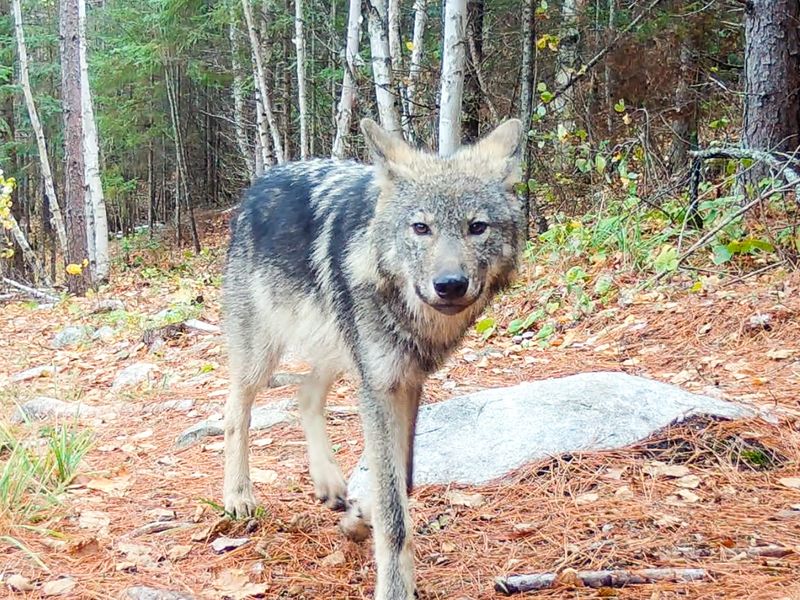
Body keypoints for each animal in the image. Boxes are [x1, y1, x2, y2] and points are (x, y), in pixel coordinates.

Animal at [222, 118, 524, 600]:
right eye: (420, 228)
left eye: (477, 226)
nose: (450, 284)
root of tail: (259, 183)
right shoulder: (379, 387)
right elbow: (394, 511)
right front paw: (396, 587)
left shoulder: (408, 383)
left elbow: (403, 479)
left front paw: (360, 516)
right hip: (262, 357)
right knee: (235, 412)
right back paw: (237, 496)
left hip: (339, 349)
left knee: (305, 396)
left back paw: (329, 483)